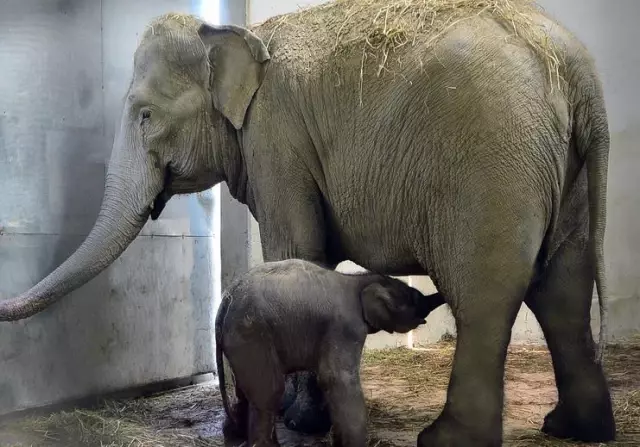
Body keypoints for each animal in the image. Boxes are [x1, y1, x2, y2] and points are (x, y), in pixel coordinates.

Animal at [215, 260, 444, 447]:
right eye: (415, 299)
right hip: (252, 333)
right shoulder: (346, 326)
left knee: (244, 391)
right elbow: (337, 378)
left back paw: (236, 438)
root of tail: (226, 301)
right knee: (269, 391)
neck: (360, 279)